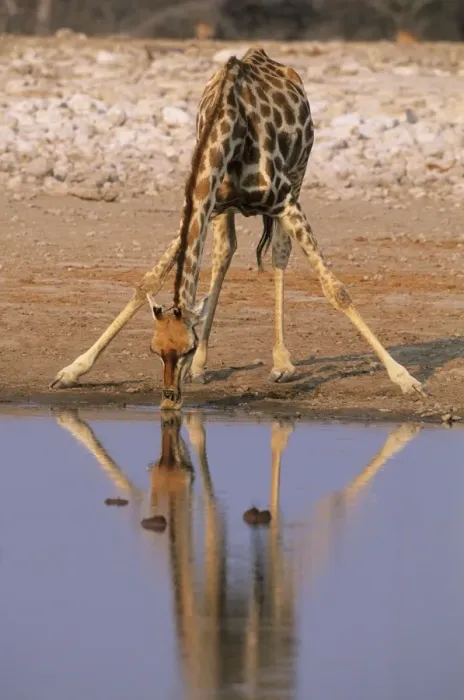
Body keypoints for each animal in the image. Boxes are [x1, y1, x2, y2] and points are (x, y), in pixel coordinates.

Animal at [52, 47, 426, 411]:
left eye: (186, 347)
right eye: (154, 349)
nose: (170, 400)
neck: (231, 126)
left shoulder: (285, 200)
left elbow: (337, 290)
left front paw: (405, 379)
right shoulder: (208, 202)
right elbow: (148, 281)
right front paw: (72, 370)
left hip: (299, 173)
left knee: (279, 253)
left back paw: (281, 363)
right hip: (226, 210)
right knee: (224, 252)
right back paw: (203, 368)